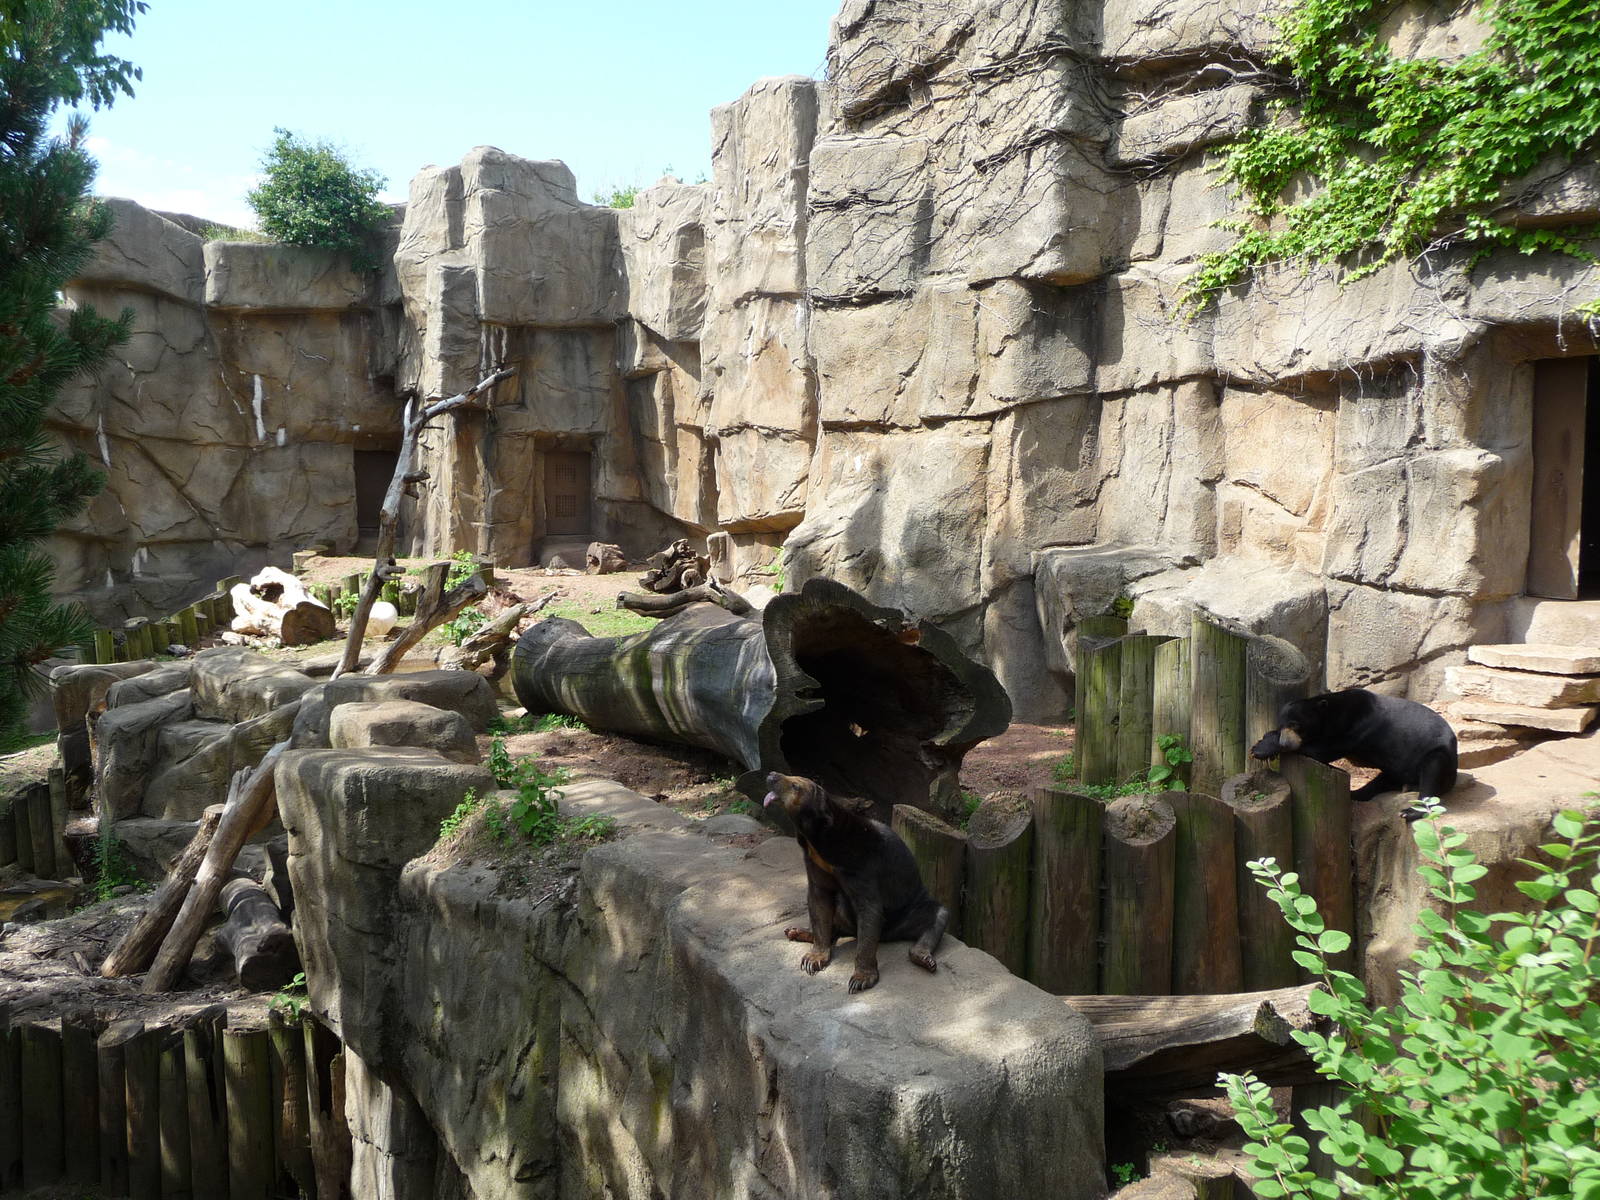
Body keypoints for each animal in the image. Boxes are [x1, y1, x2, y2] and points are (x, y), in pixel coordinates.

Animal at [762, 771, 949, 993]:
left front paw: (861, 979)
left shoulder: (861, 864)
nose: (772, 775)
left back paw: (923, 957)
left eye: (795, 786)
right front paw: (813, 959)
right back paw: (796, 931)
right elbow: (818, 900)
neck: (819, 842)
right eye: (792, 778)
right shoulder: (814, 863)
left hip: (908, 913)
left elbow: (869, 908)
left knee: (937, 915)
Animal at [1250, 688, 1458, 820]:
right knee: (1378, 783)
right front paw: (1264, 744)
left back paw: (1410, 811)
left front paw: (1262, 748)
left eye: (1295, 725)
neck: (1332, 713)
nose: (1285, 742)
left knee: (1432, 771)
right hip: (1397, 769)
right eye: (1282, 725)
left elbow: (1322, 750)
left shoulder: (1357, 726)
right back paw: (1356, 793)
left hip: (1435, 753)